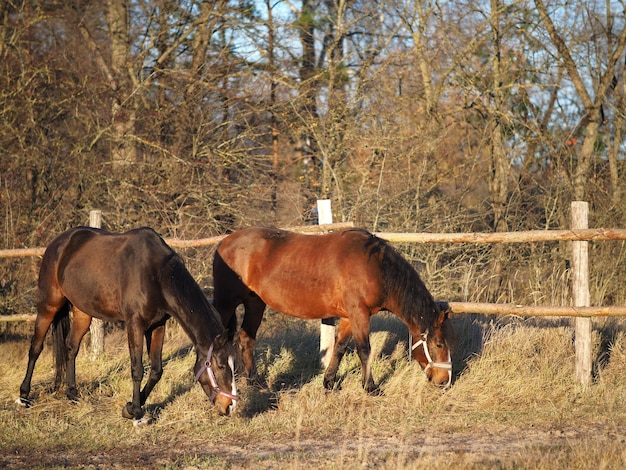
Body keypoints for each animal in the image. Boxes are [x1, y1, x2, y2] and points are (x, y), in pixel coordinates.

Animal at [18, 226, 236, 420]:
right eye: (220, 366)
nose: (229, 406)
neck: (157, 275)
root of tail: (57, 243)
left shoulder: (158, 326)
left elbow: (156, 370)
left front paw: (131, 406)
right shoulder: (135, 324)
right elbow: (137, 369)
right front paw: (136, 412)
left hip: (82, 311)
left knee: (71, 347)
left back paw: (72, 393)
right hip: (49, 305)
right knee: (35, 347)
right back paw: (24, 396)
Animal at [211, 228, 454, 392]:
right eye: (439, 344)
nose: (444, 381)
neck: (375, 267)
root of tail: (223, 244)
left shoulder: (349, 317)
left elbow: (340, 348)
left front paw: (329, 382)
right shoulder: (359, 314)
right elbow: (364, 350)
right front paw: (370, 387)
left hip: (255, 303)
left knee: (246, 339)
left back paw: (256, 382)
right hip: (226, 303)